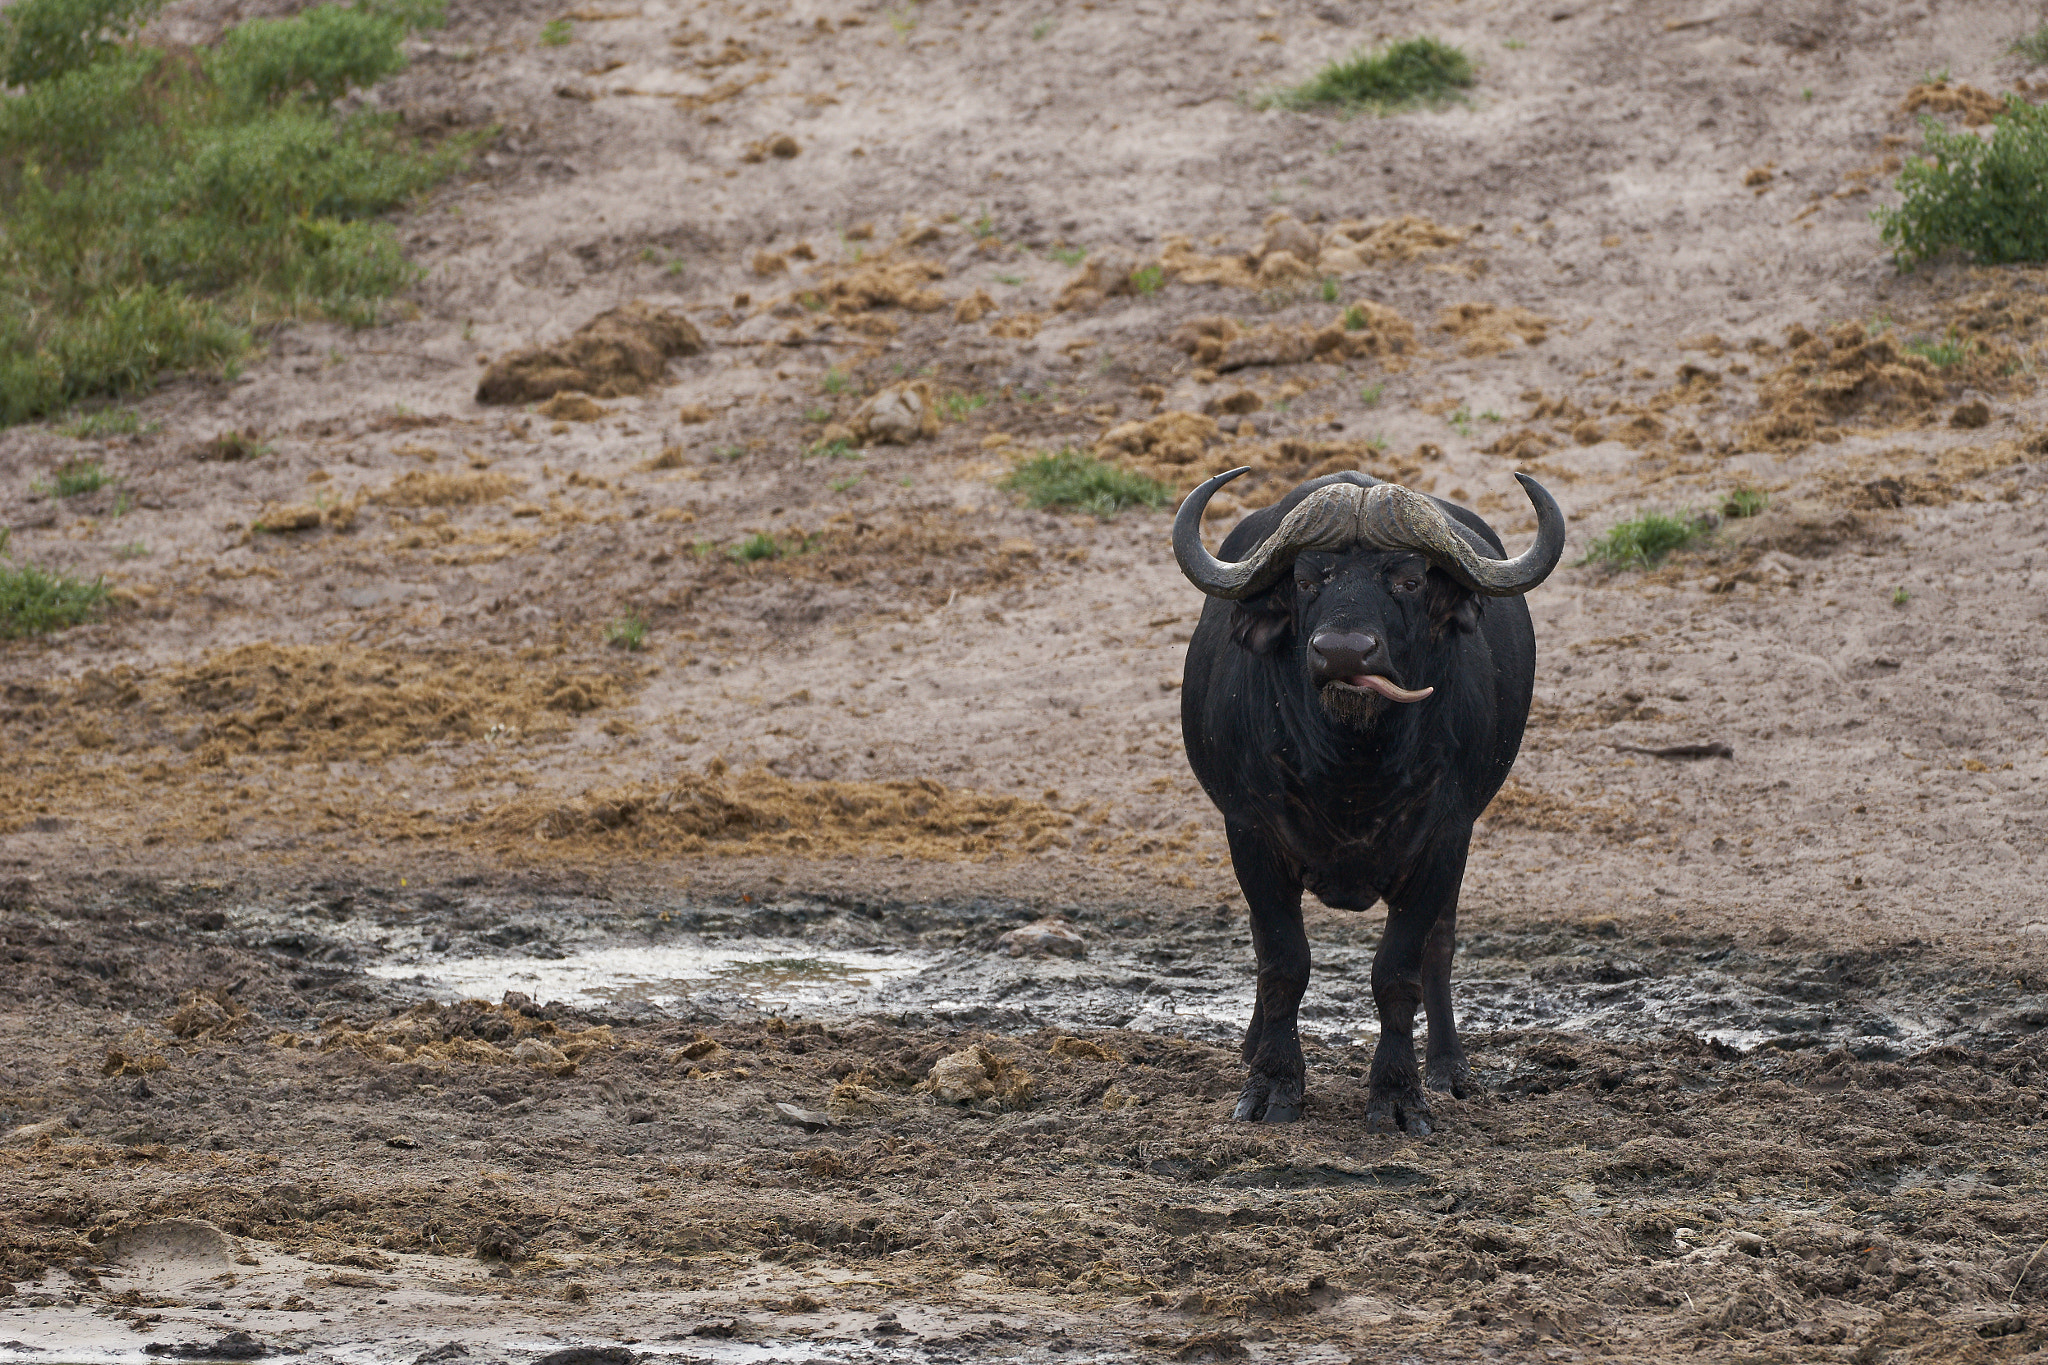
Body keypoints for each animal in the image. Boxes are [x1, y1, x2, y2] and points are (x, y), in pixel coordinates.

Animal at [1171, 466, 1564, 1129]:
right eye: (1307, 579)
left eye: (1407, 579)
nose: (1344, 653)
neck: (1352, 769)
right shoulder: (1249, 831)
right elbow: (1283, 960)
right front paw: (1271, 1083)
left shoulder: (1444, 839)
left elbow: (1399, 970)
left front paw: (1399, 1094)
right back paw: (1252, 1044)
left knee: (1441, 946)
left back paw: (1448, 1067)